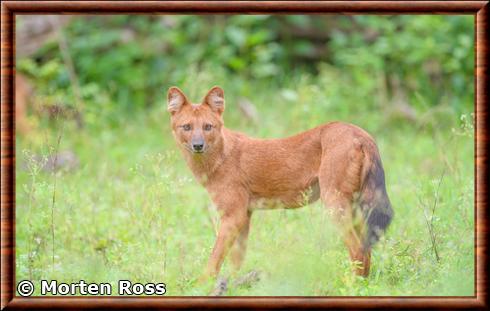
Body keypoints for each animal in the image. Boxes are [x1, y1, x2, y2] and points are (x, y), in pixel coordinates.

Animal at [167, 86, 392, 280]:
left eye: (207, 127)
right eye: (187, 127)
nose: (198, 145)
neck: (218, 158)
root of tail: (361, 134)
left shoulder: (233, 215)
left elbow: (214, 258)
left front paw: (202, 285)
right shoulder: (245, 215)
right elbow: (236, 260)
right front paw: (232, 285)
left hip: (335, 204)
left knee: (357, 249)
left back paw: (351, 285)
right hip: (357, 208)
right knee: (367, 249)